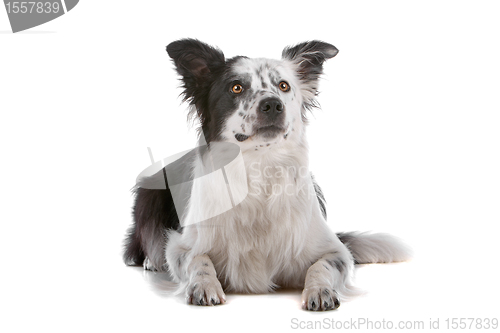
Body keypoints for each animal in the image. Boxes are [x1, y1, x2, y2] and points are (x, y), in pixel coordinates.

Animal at [122, 39, 410, 308]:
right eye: (236, 87)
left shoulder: (334, 250)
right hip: (150, 192)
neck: (260, 168)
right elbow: (198, 259)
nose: (272, 104)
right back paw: (150, 260)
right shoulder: (182, 245)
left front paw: (320, 290)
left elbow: (322, 265)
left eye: (283, 86)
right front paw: (204, 285)